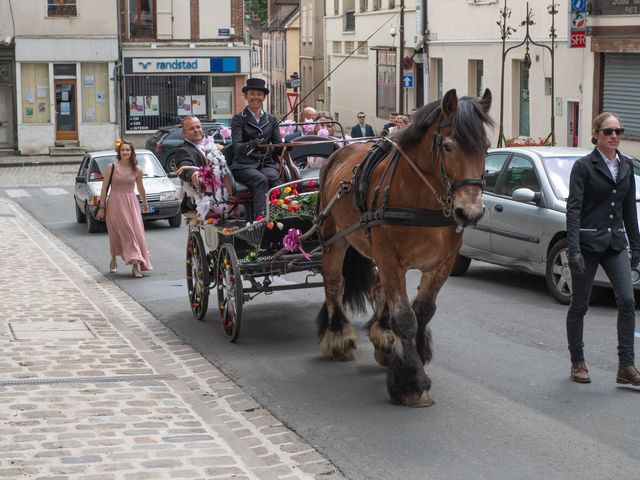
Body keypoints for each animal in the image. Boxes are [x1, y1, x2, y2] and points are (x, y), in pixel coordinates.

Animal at [318, 89, 492, 404]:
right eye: (448, 147)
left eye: (485, 147)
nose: (471, 212)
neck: (421, 196)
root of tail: (338, 152)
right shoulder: (390, 259)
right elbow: (405, 318)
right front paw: (412, 381)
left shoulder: (441, 264)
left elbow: (422, 310)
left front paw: (416, 355)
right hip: (334, 239)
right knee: (335, 284)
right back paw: (338, 338)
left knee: (379, 290)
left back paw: (384, 340)